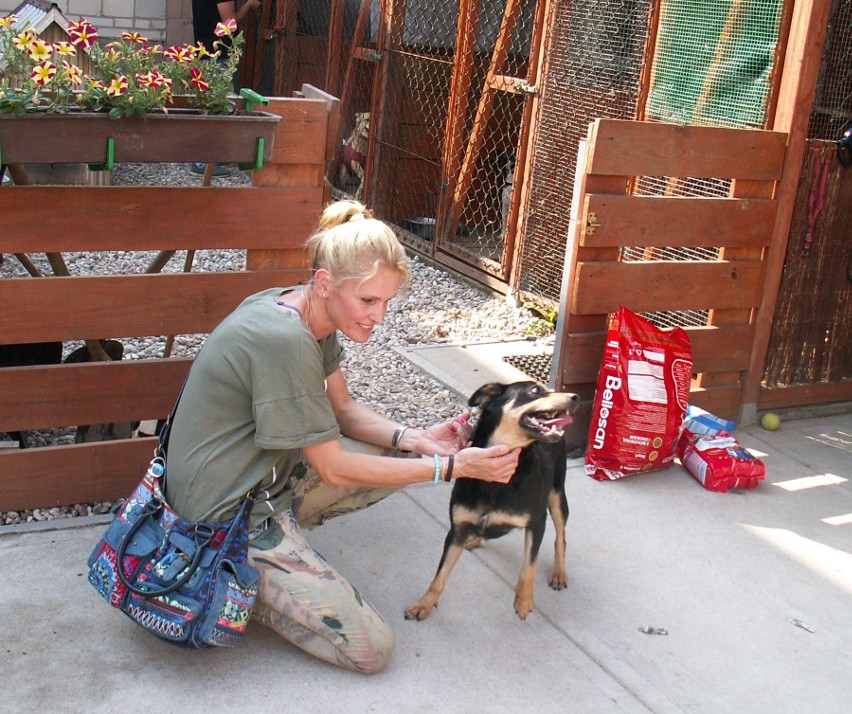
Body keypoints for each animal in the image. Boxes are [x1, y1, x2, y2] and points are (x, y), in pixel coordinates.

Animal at [404, 378, 580, 616]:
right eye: (535, 390)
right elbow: (439, 576)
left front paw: (524, 600)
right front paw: (424, 604)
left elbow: (529, 566)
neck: (498, 482)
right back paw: (475, 539)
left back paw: (559, 573)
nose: (576, 397)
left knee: (560, 537)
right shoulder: (457, 529)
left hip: (556, 495)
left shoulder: (537, 522)